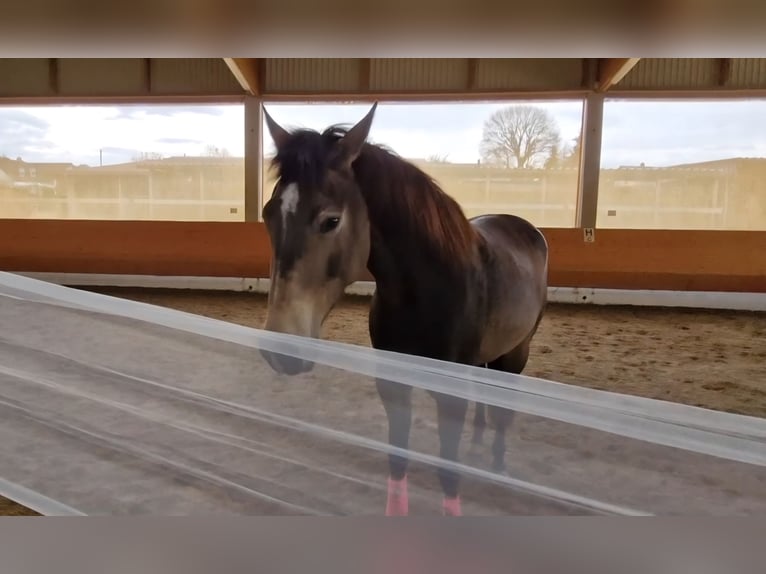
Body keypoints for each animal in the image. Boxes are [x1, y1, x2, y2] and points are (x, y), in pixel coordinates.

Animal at [258, 103, 549, 516]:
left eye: (331, 220)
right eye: (269, 214)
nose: (281, 349)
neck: (425, 292)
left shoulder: (451, 396)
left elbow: (449, 473)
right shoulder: (393, 384)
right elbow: (398, 461)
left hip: (516, 353)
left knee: (503, 412)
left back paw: (497, 464)